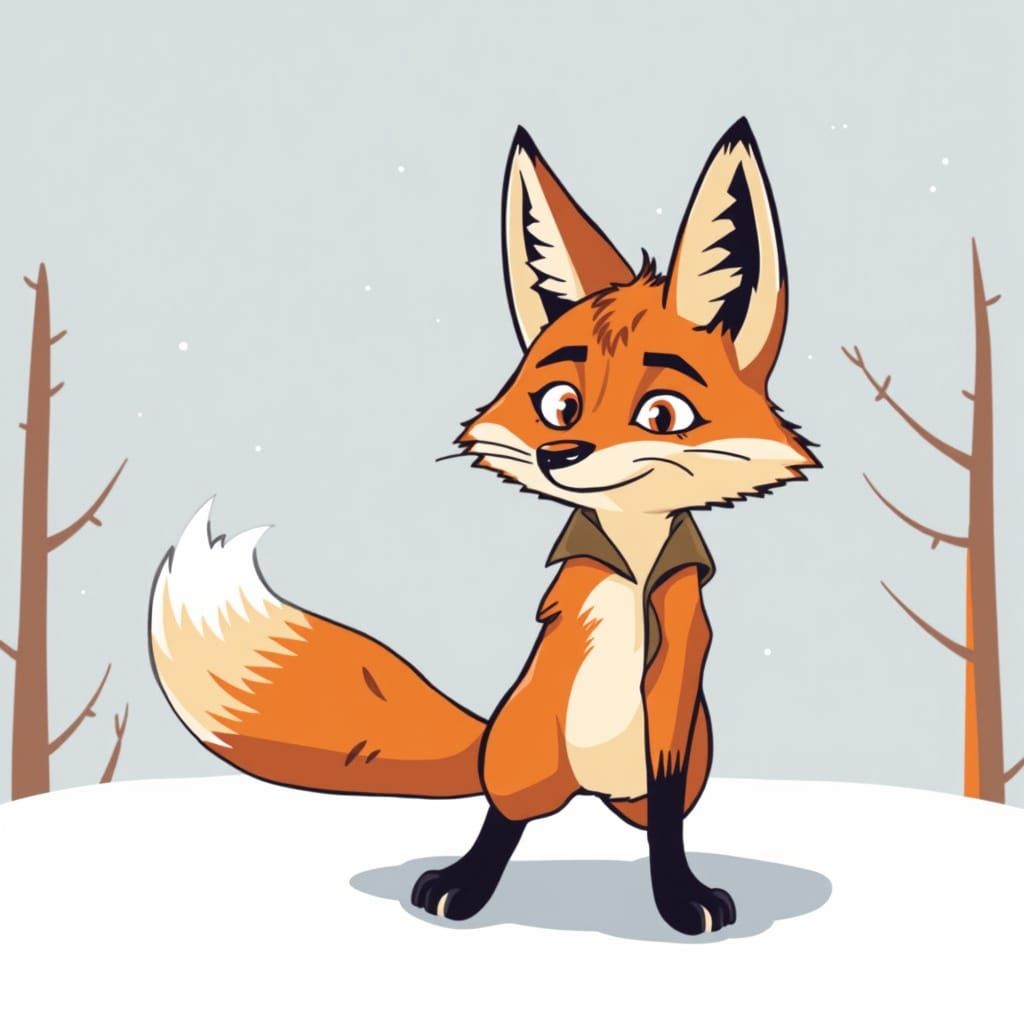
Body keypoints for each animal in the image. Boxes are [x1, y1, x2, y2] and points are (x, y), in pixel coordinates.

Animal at [148, 117, 817, 935]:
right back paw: (464, 885)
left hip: (685, 756)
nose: (561, 455)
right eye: (559, 405)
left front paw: (678, 896)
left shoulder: (673, 707)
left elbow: (666, 822)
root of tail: (588, 787)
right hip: (526, 746)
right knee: (505, 813)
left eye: (663, 414)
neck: (632, 557)